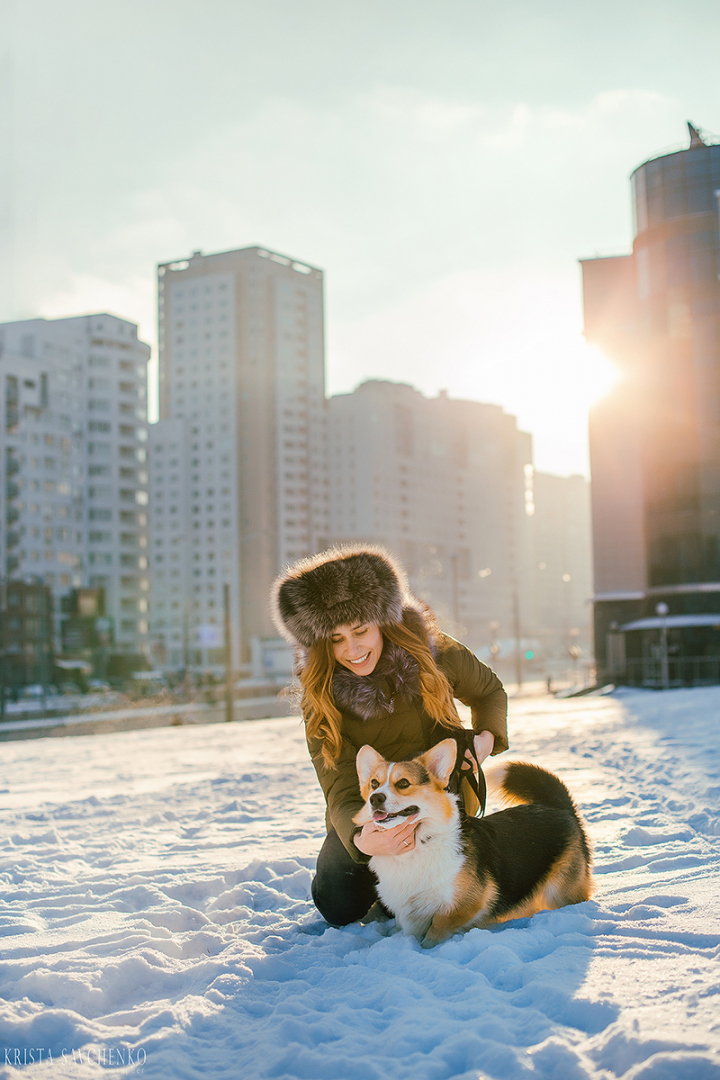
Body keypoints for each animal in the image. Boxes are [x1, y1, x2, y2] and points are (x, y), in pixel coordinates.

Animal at [351, 738, 595, 950]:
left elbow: (437, 928)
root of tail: (557, 806)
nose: (375, 798)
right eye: (374, 784)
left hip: (560, 893)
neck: (418, 844)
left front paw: (426, 948)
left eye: (403, 783)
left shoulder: (467, 904)